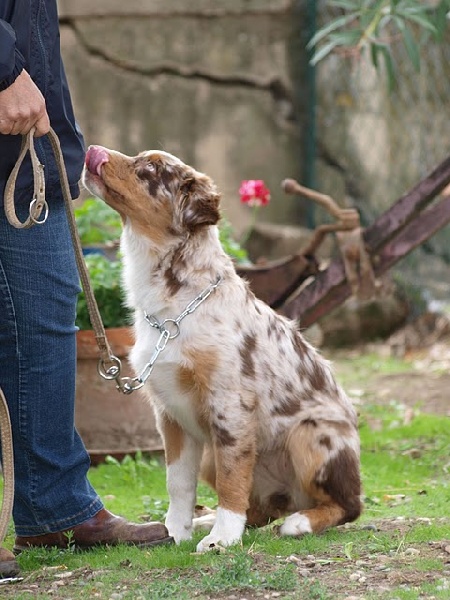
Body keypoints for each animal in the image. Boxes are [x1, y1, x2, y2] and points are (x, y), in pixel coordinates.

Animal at [81, 146, 362, 552]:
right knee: (257, 508)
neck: (175, 307)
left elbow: (233, 477)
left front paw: (222, 539)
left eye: (149, 168)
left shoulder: (230, 404)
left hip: (311, 433)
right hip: (212, 457)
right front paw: (177, 530)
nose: (93, 151)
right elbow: (178, 483)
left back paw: (299, 522)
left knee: (349, 504)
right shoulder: (170, 414)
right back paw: (210, 520)